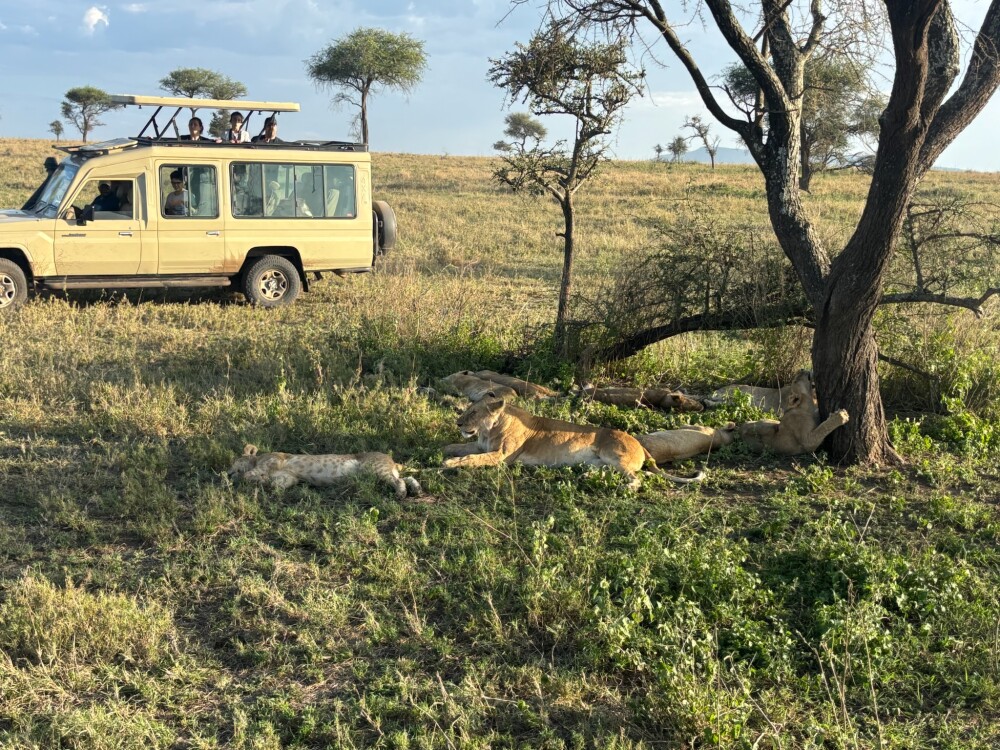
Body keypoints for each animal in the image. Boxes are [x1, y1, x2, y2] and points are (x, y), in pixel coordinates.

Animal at [228, 444, 422, 499]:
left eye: (234, 461)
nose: (228, 472)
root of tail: (393, 460)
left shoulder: (274, 459)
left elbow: (248, 475)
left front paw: (249, 479)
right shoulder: (289, 478)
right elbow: (276, 484)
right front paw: (263, 483)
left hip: (375, 468)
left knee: (399, 480)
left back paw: (401, 493)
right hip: (380, 473)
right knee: (408, 477)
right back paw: (418, 490)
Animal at [442, 397, 703, 488]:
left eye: (474, 412)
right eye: (467, 409)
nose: (458, 422)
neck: (489, 430)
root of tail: (640, 445)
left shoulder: (499, 457)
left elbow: (470, 458)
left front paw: (449, 463)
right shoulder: (480, 445)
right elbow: (460, 447)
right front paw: (443, 449)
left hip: (614, 455)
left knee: (637, 478)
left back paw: (625, 487)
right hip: (601, 461)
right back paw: (586, 476)